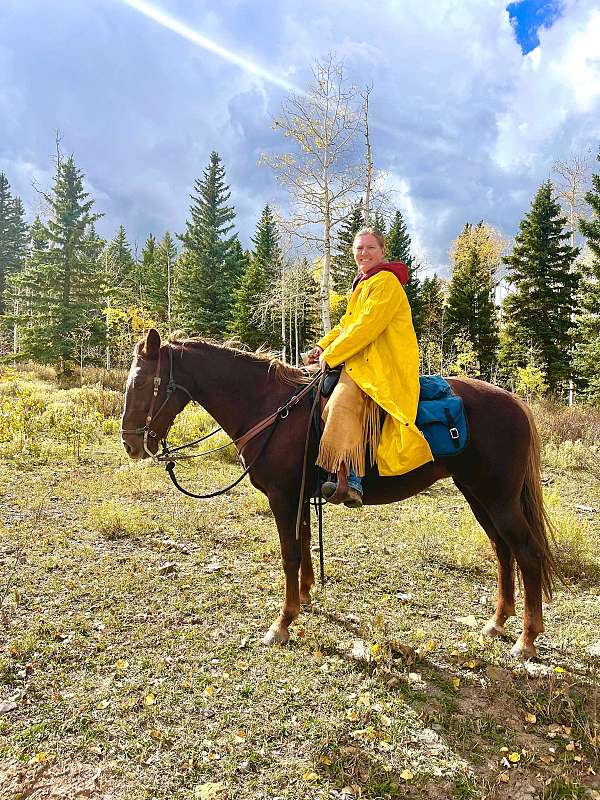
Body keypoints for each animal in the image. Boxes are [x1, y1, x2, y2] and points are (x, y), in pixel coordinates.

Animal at [122, 328, 556, 660]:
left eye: (141, 381)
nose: (130, 443)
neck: (271, 407)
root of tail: (516, 403)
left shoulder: (282, 497)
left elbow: (290, 554)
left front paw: (282, 622)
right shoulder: (299, 498)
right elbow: (304, 546)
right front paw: (305, 598)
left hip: (498, 499)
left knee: (526, 553)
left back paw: (526, 640)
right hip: (479, 496)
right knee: (503, 551)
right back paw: (497, 622)